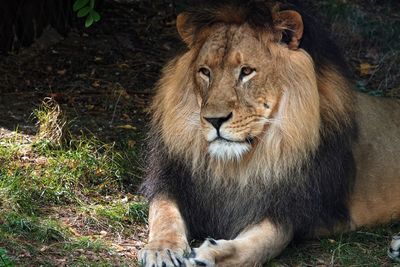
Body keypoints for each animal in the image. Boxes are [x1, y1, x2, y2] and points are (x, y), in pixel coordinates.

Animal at [138, 1, 400, 266]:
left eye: (246, 71)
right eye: (205, 71)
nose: (214, 120)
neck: (235, 166)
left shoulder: (287, 210)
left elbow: (255, 247)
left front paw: (208, 255)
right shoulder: (171, 182)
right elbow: (164, 214)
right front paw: (162, 249)